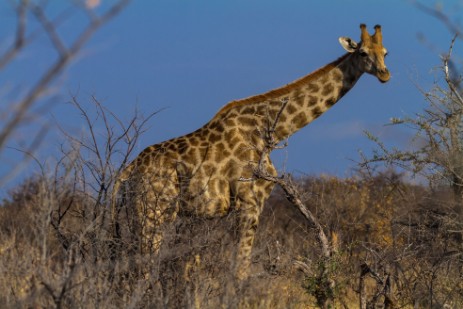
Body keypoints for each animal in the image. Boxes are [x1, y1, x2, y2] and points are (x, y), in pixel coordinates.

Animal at [112, 23, 392, 280]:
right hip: (152, 211)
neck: (268, 131)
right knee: (143, 266)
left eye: (385, 52)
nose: (384, 74)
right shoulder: (247, 202)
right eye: (363, 53)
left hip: (139, 213)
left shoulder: (256, 202)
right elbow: (240, 269)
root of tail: (128, 170)